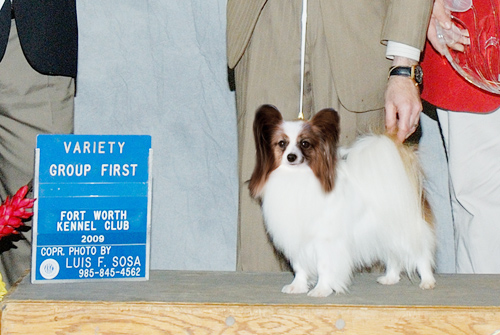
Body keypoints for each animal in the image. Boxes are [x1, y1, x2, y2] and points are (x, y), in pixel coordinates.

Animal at [248, 105, 436, 300]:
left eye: (305, 143)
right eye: (282, 144)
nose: (291, 157)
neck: (297, 177)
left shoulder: (326, 240)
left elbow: (324, 266)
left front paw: (321, 289)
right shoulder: (297, 238)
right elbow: (300, 266)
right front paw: (298, 286)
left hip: (406, 230)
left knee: (421, 255)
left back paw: (427, 281)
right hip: (386, 233)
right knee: (394, 256)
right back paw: (390, 278)